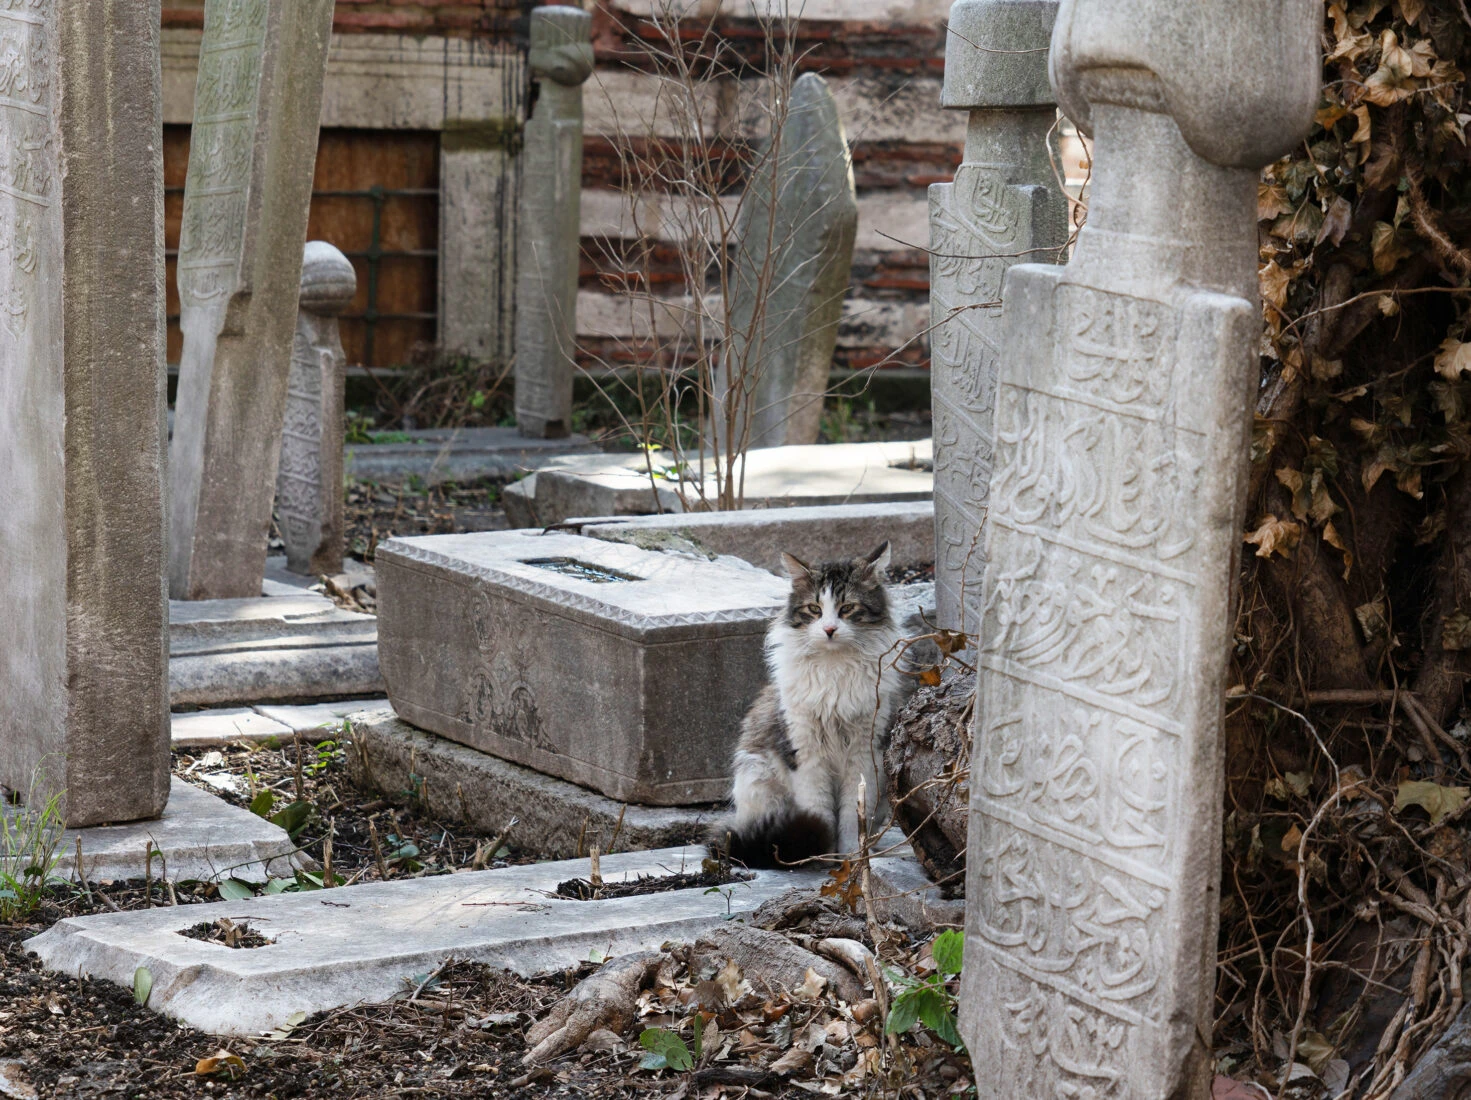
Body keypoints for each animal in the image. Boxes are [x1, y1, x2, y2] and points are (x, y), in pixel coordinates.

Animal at [706, 541, 900, 870]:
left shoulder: (863, 753)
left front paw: (851, 859)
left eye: (847, 608)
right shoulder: (806, 752)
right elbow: (819, 811)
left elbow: (851, 818)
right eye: (814, 609)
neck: (835, 669)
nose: (830, 630)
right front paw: (822, 857)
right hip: (758, 776)